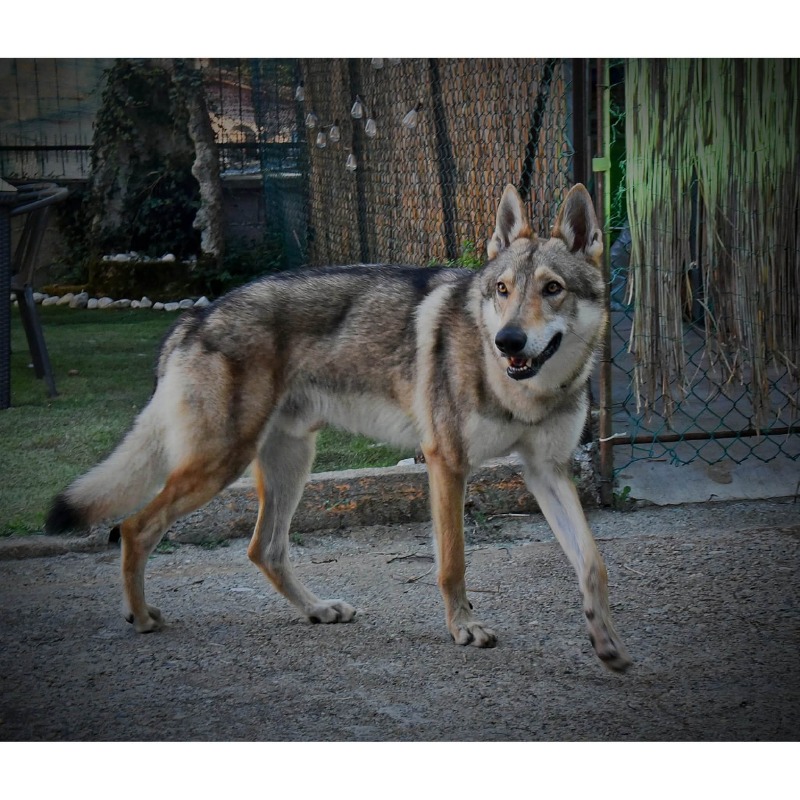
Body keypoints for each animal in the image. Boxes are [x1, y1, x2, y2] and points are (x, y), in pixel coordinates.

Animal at [47, 183, 630, 672]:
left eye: (552, 289)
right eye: (504, 290)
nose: (508, 341)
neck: (525, 392)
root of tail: (193, 318)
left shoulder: (546, 471)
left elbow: (594, 562)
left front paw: (607, 642)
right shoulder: (446, 463)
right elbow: (453, 563)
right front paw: (464, 629)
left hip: (290, 464)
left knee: (263, 549)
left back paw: (318, 610)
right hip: (221, 465)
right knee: (135, 527)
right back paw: (143, 617)